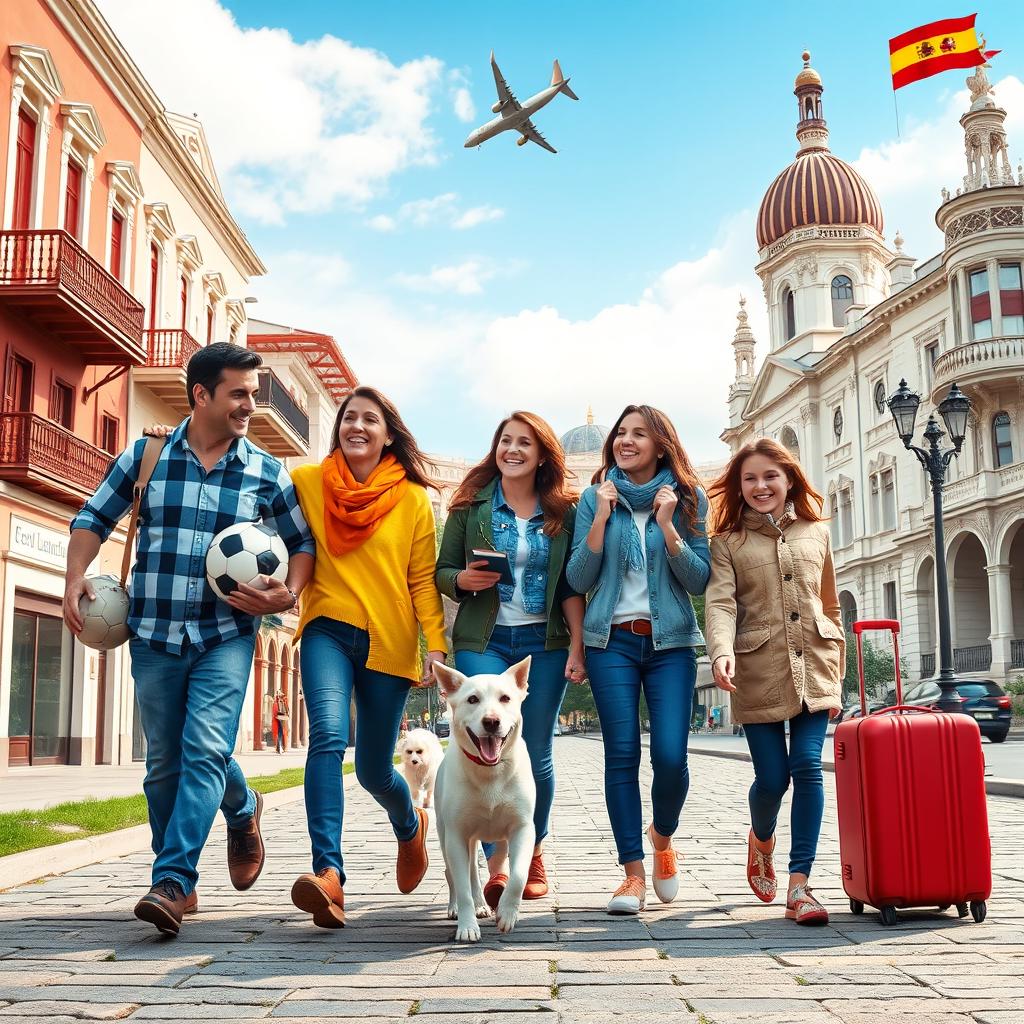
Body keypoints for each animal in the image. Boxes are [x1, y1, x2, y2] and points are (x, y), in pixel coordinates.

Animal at [432, 655, 536, 942]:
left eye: (505, 698)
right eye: (472, 699)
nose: (491, 721)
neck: (490, 772)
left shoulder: (523, 827)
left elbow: (518, 875)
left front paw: (507, 913)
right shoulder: (457, 834)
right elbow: (462, 884)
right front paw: (467, 926)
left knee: (474, 873)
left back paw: (482, 905)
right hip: (446, 834)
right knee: (455, 874)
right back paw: (458, 907)